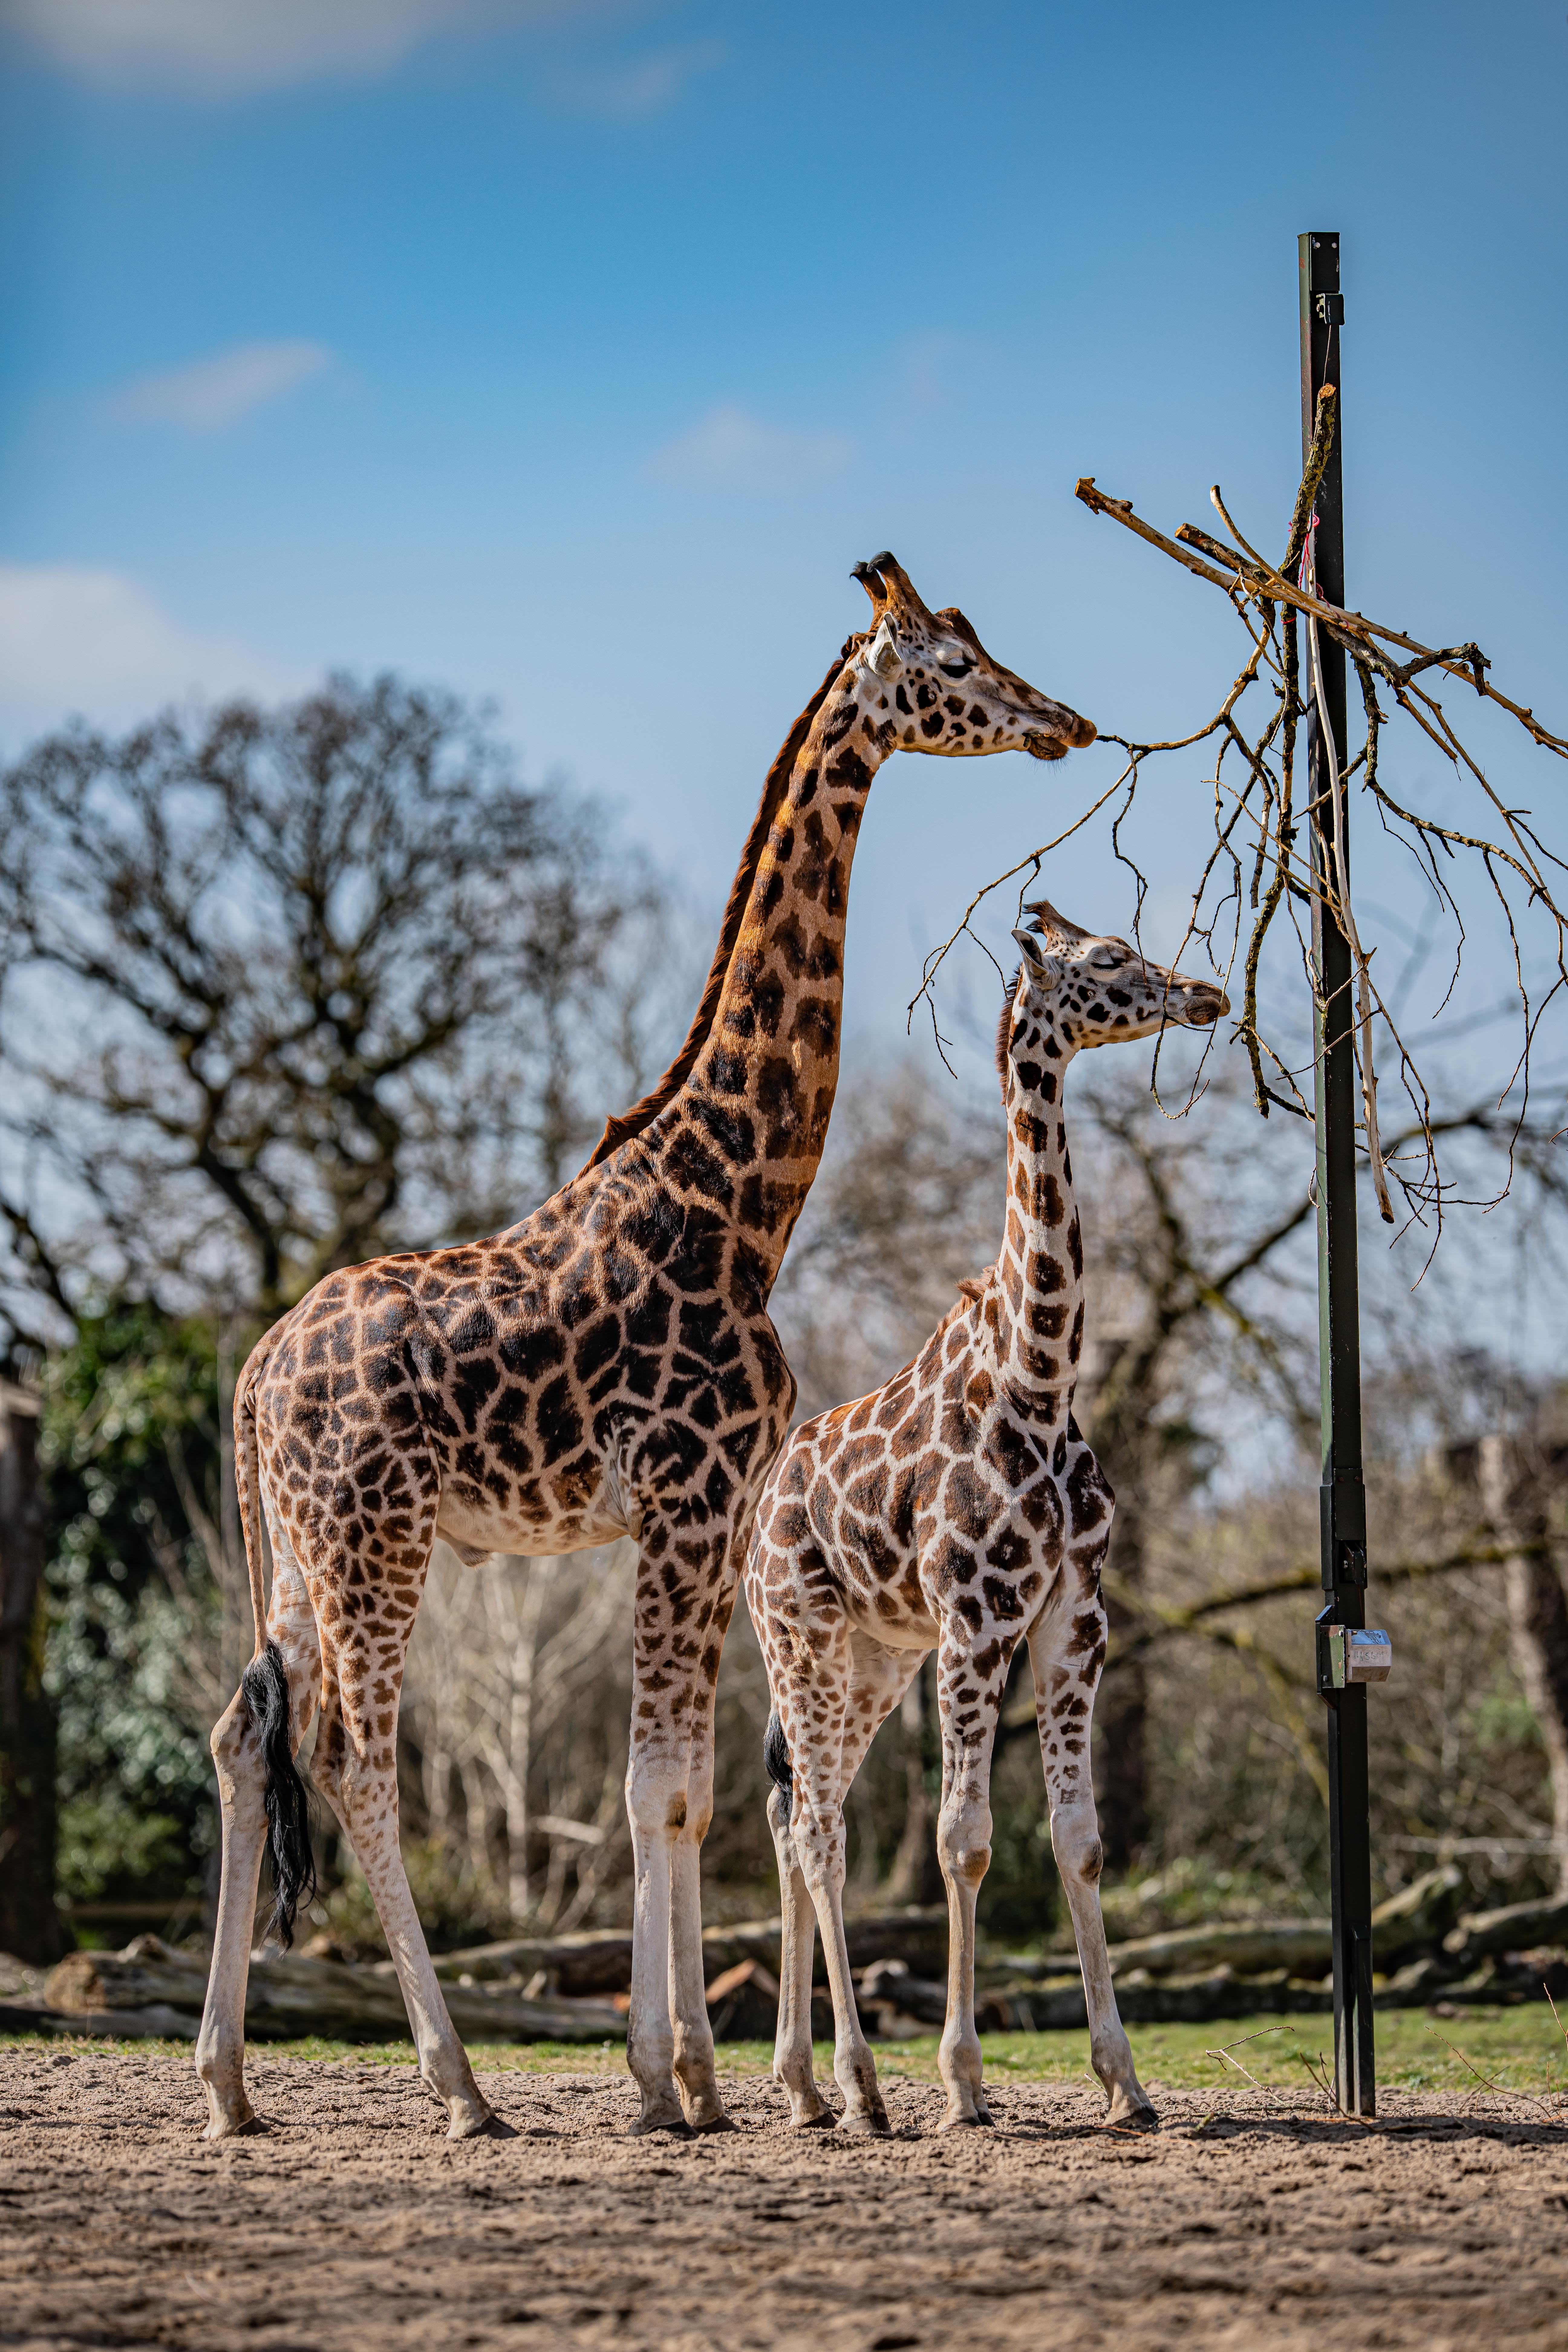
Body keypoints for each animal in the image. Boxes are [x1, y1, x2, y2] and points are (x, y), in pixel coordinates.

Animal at [194, 554, 1097, 2144]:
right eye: (947, 661)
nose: (1065, 722)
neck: (737, 1203)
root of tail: (253, 1374)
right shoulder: (683, 1500)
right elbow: (660, 1786)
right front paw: (676, 2078)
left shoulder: (707, 1514)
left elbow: (690, 1790)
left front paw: (696, 2079)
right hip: (377, 1538)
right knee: (352, 1761)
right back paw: (459, 2085)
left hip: (302, 1548)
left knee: (248, 1737)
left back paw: (231, 2084)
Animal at [744, 900, 1228, 2133]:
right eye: (1107, 959)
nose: (1205, 993)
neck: (1040, 1377)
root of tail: (758, 1511)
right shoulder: (976, 1622)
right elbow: (962, 1841)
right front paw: (963, 2081)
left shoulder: (1071, 1622)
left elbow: (1080, 1843)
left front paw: (1125, 2080)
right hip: (800, 1640)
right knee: (818, 1830)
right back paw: (861, 2086)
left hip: (872, 1661)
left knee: (794, 1819)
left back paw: (803, 2086)